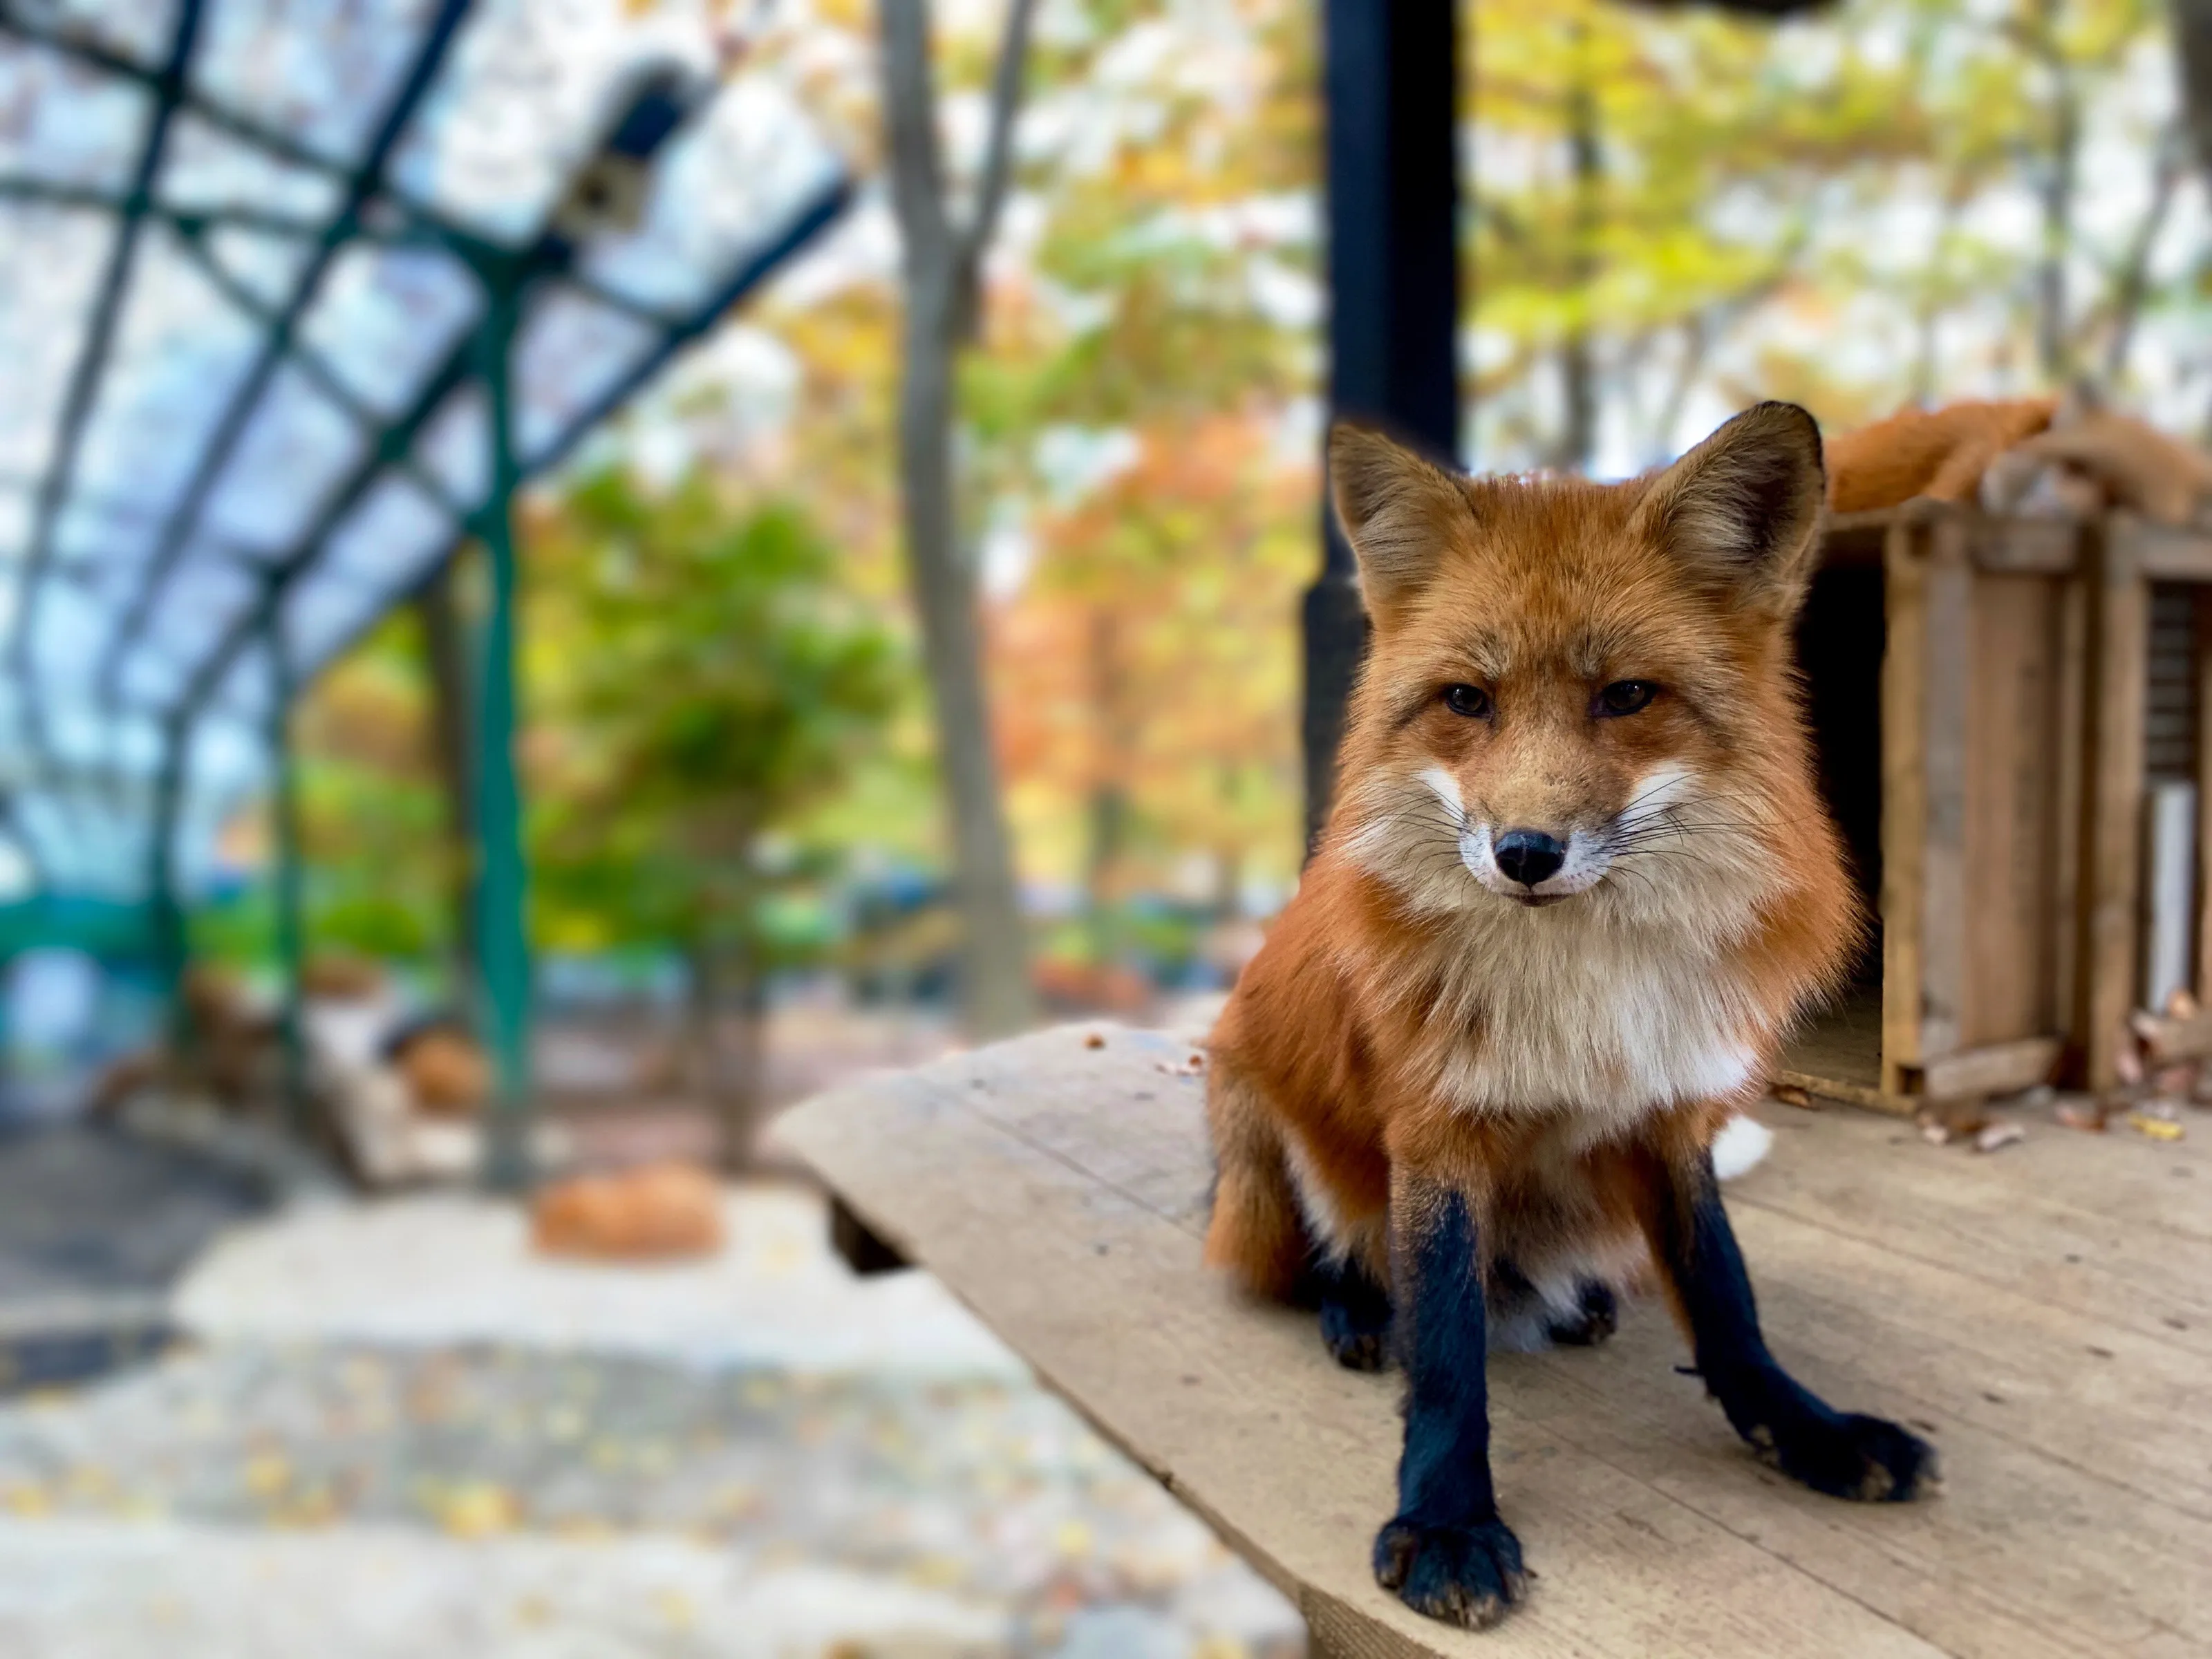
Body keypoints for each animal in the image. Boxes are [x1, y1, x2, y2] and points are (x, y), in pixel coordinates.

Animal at [1203, 403, 1938, 1631]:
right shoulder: (1434, 1131)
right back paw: (1359, 1312)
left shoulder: (1668, 1111)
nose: (1525, 854)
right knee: (1330, 1256)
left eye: (1627, 696)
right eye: (1468, 701)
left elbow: (1727, 1299)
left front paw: (1805, 1432)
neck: (1575, 994)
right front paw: (1447, 1519)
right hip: (1252, 1111)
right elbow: (1448, 1352)